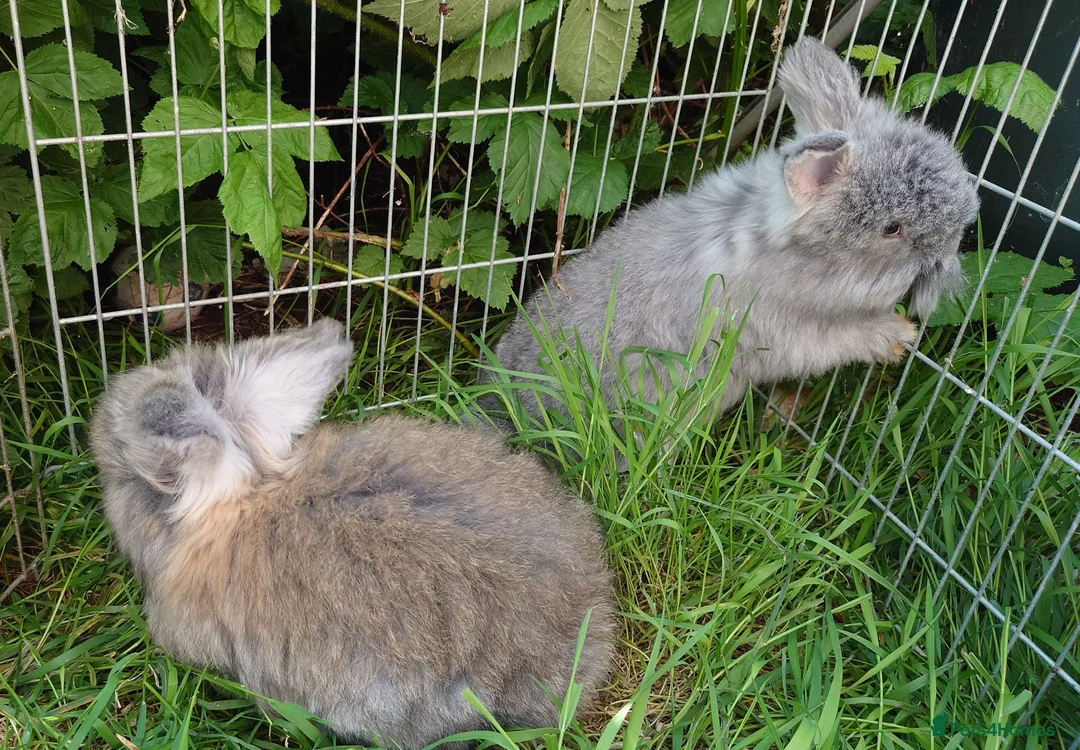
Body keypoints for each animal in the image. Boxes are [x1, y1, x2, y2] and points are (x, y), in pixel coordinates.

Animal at [488, 37, 980, 422]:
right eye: (892, 228)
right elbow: (840, 339)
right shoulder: (786, 335)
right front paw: (897, 336)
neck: (775, 255)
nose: (952, 249)